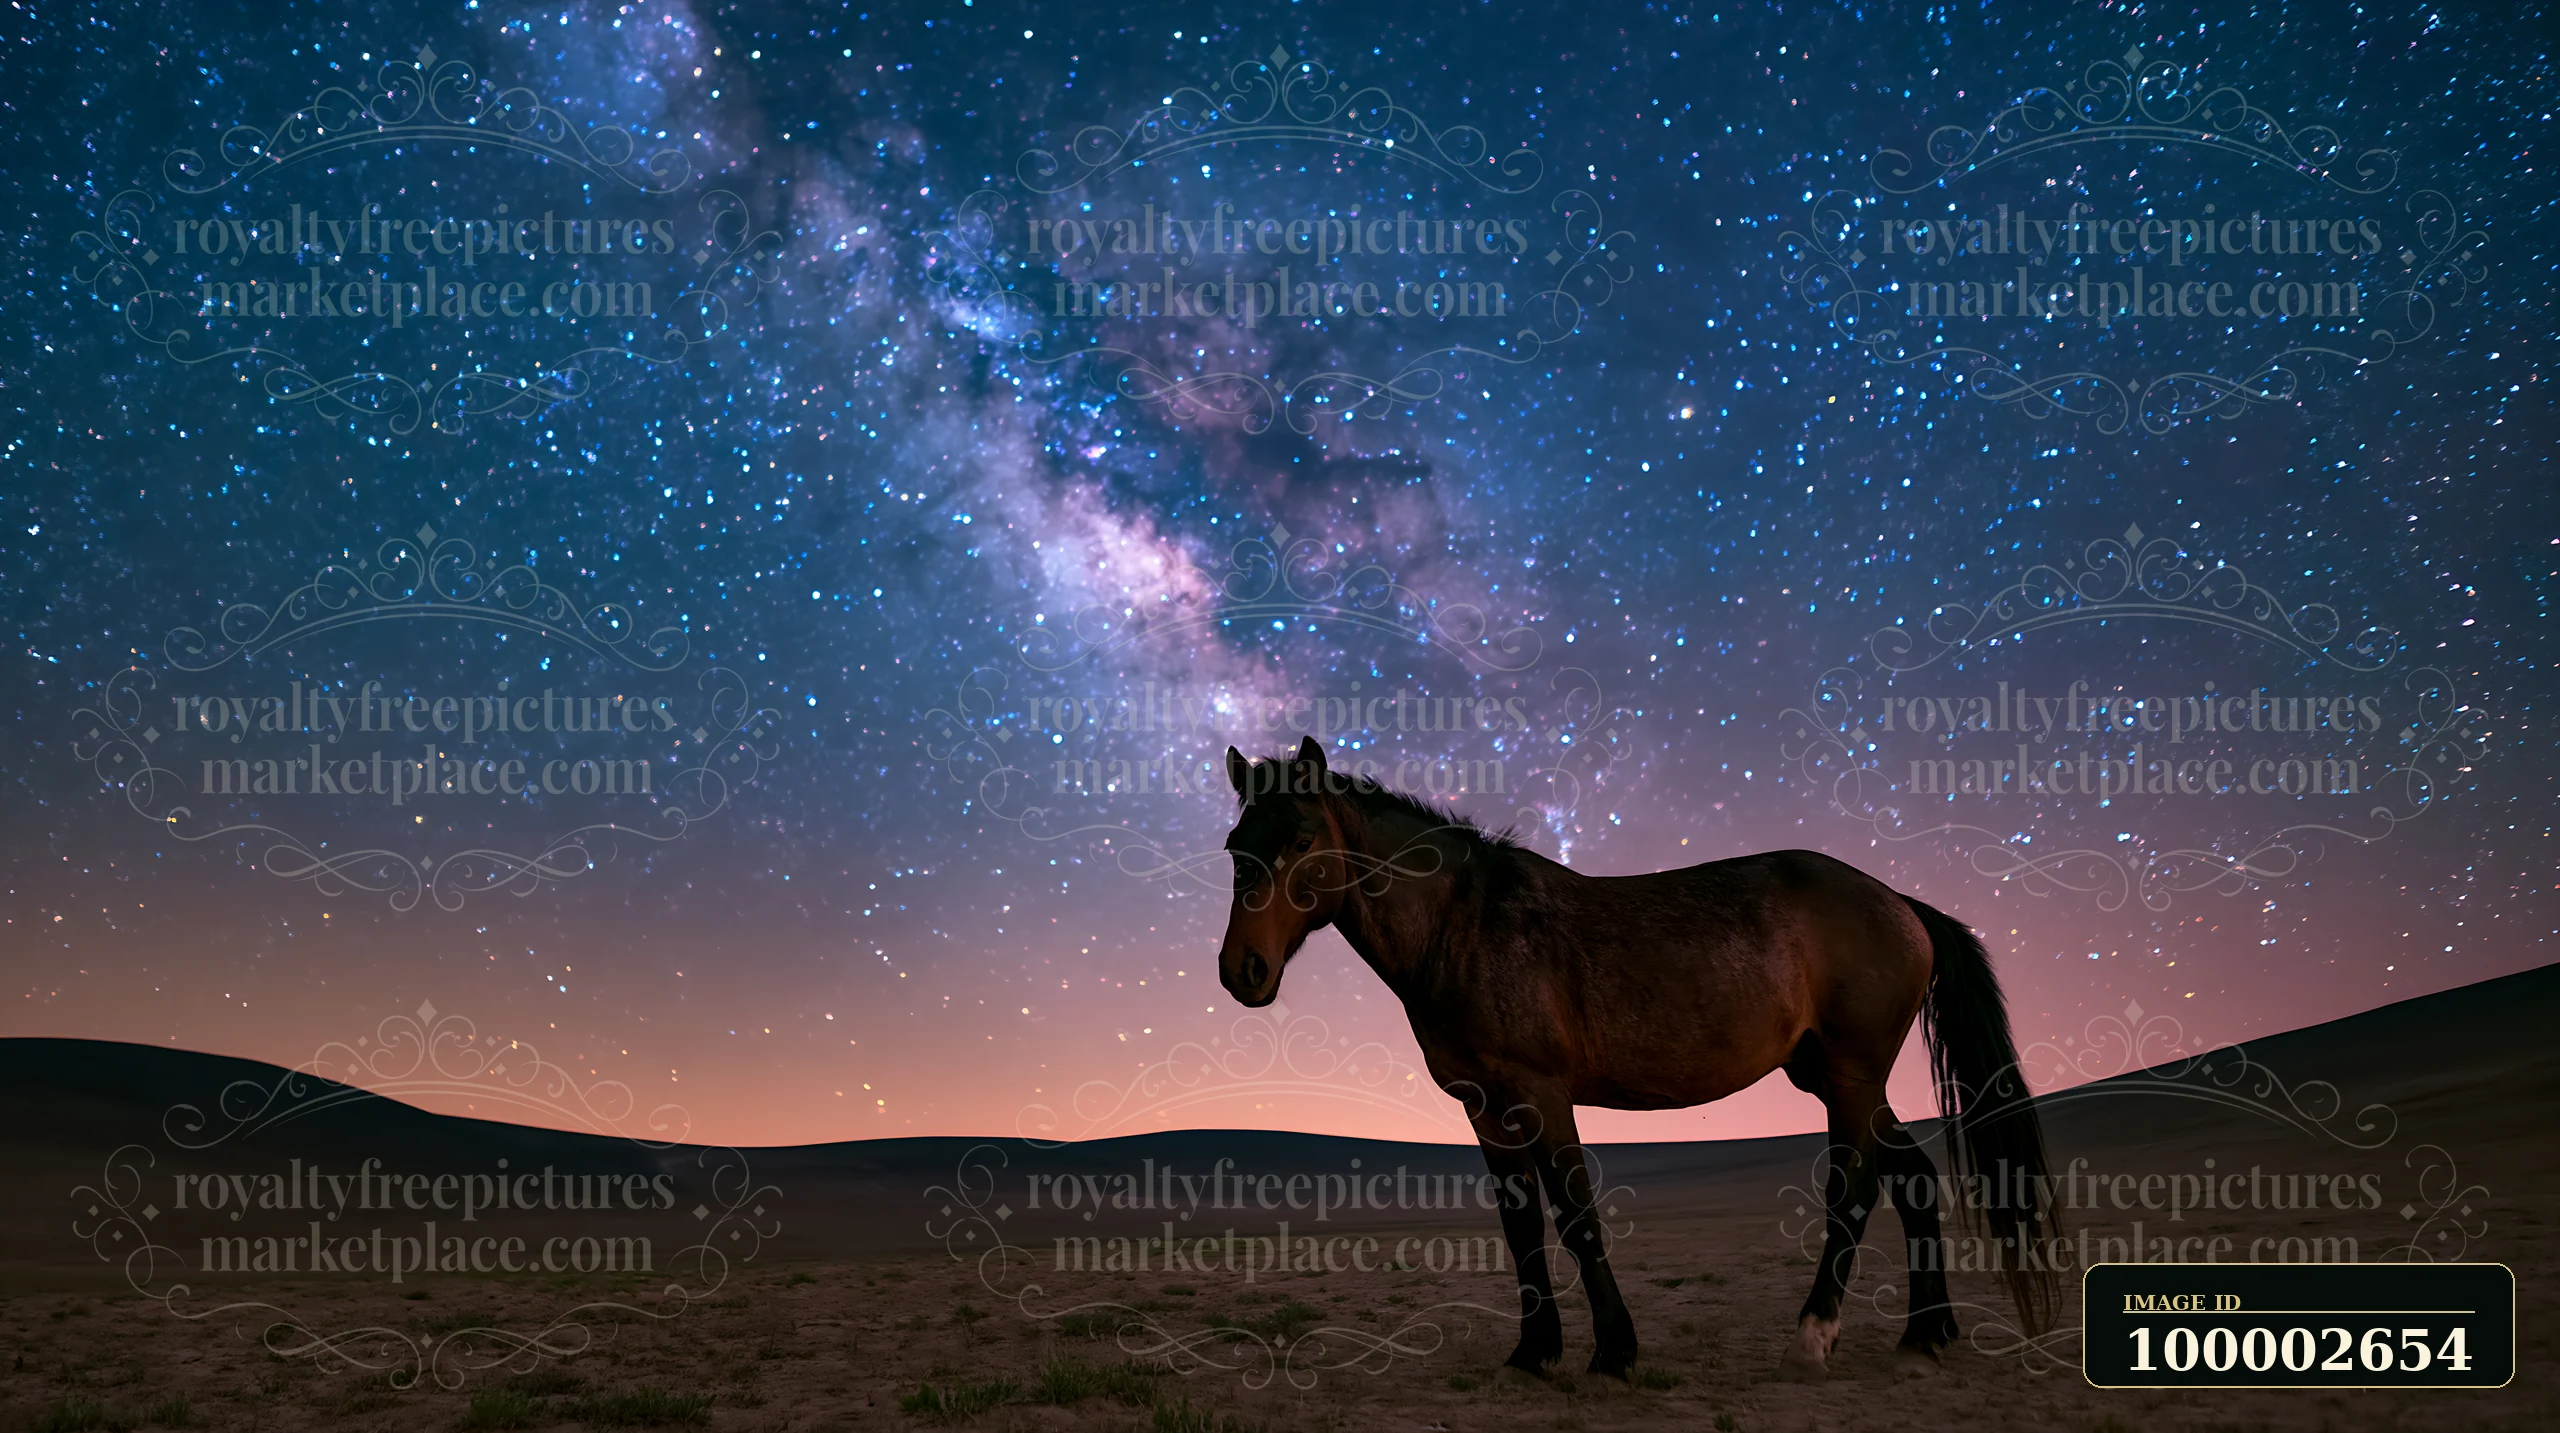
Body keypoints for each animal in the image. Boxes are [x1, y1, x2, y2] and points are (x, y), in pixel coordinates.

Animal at [1212, 737, 2055, 1380]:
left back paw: (1814, 1336)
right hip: (1831, 1073)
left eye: (1302, 840)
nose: (1241, 971)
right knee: (1913, 1177)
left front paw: (1614, 1350)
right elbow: (1522, 1223)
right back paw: (1925, 1332)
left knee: (1854, 1188)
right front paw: (1534, 1350)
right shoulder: (1485, 1107)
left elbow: (1575, 1214)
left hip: (1850, 1074)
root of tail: (1904, 905)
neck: (1464, 925)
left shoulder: (1540, 1093)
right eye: (1235, 848)